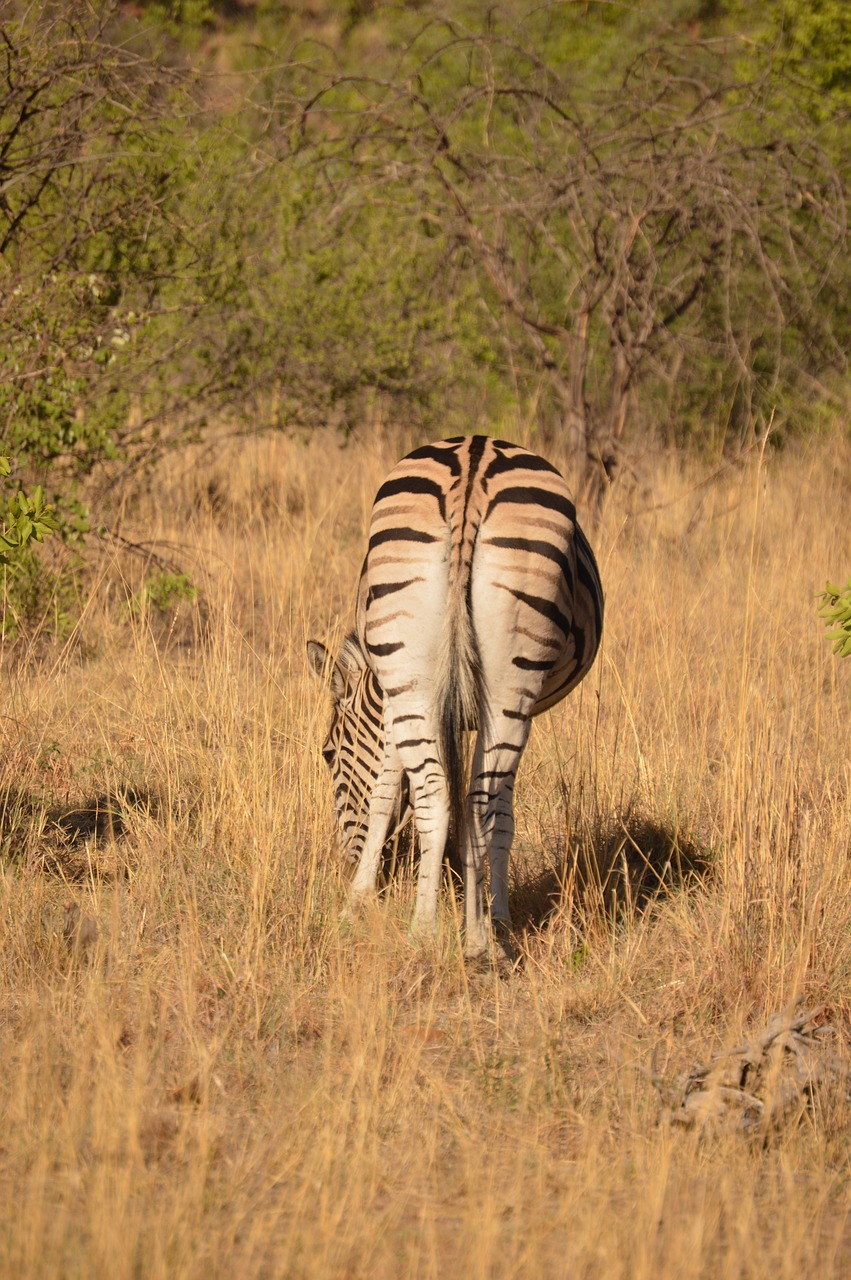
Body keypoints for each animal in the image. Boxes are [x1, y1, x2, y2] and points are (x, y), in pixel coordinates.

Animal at [308, 435, 601, 957]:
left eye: (327, 754)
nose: (344, 861)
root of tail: (473, 461)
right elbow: (492, 813)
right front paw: (492, 916)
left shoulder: (392, 704)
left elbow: (383, 794)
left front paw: (353, 904)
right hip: (505, 686)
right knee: (477, 800)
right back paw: (475, 940)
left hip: (422, 677)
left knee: (445, 794)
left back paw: (436, 933)